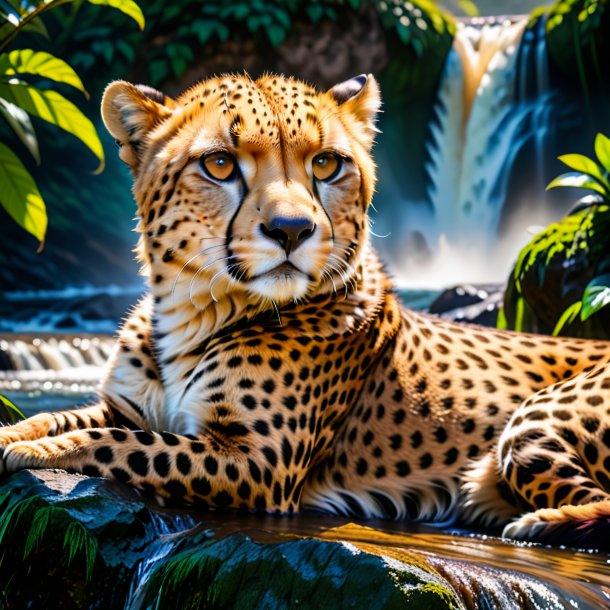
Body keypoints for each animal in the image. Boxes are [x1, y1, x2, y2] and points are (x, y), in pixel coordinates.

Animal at [1, 71, 608, 540]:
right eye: (219, 164)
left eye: (326, 165)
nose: (291, 229)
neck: (193, 312)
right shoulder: (128, 407)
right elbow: (60, 415)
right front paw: (17, 435)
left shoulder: (255, 462)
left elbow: (120, 444)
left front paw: (40, 453)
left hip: (532, 419)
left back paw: (536, 522)